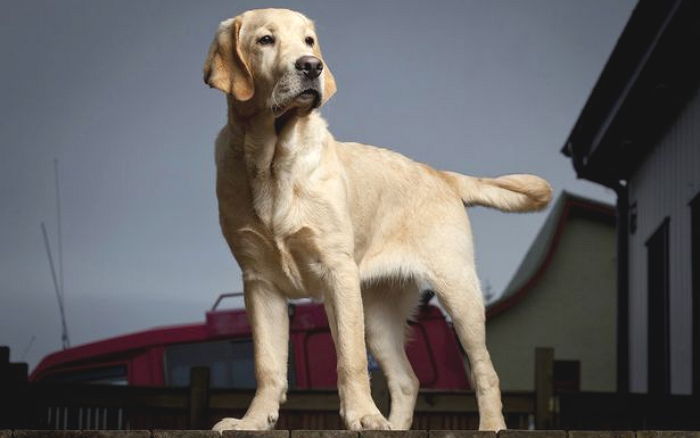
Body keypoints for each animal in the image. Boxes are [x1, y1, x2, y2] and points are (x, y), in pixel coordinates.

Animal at [204, 8, 552, 432]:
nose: (311, 66)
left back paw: (490, 426)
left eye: (309, 42)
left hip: (458, 294)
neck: (272, 161)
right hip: (377, 313)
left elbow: (349, 359)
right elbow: (268, 366)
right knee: (407, 380)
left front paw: (362, 416)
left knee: (486, 371)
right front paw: (252, 421)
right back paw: (395, 425)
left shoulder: (337, 271)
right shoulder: (259, 282)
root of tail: (441, 175)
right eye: (265, 40)